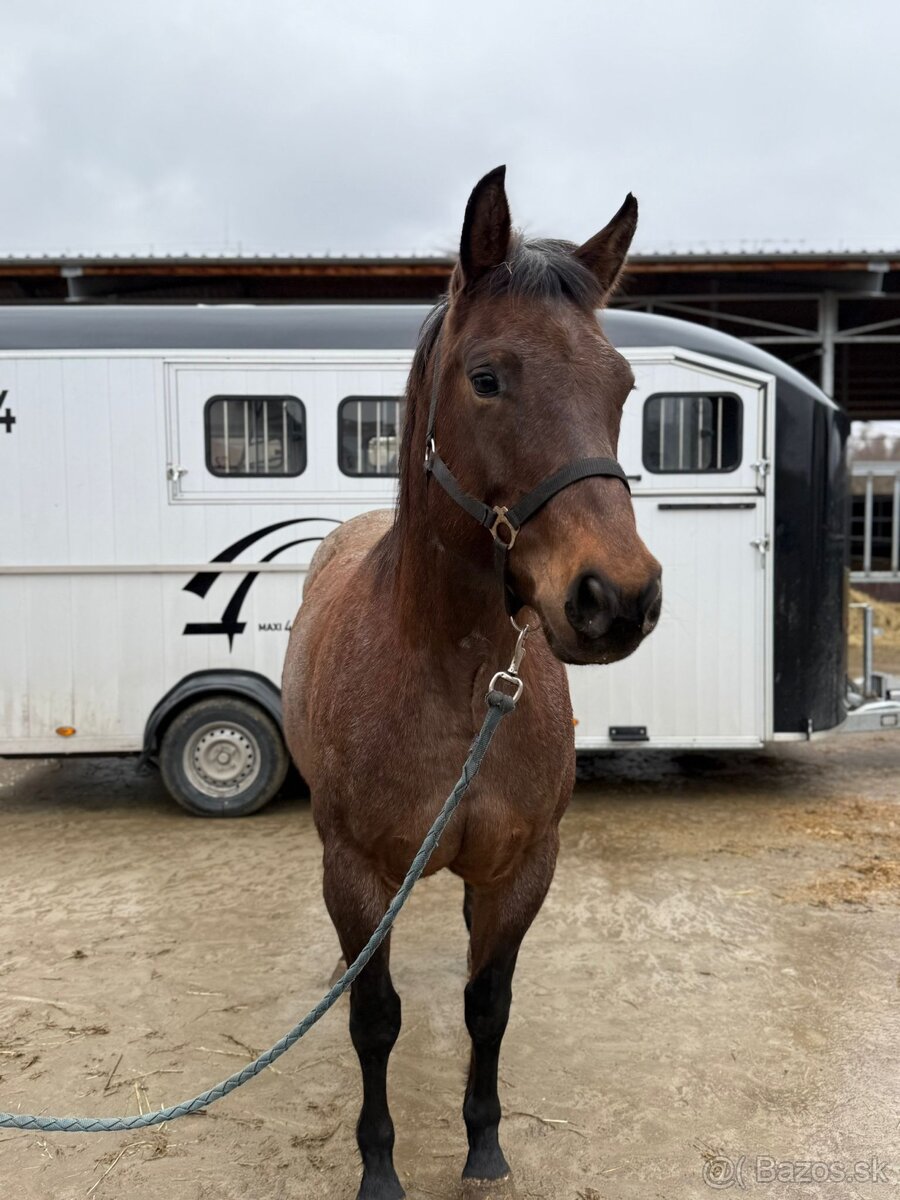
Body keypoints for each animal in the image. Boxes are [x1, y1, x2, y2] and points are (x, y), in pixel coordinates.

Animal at [282, 166, 662, 1199]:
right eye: (486, 377)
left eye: (622, 386)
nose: (619, 598)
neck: (450, 683)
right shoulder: (357, 873)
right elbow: (374, 1018)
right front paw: (380, 1166)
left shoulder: (519, 868)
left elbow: (486, 1004)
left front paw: (485, 1145)